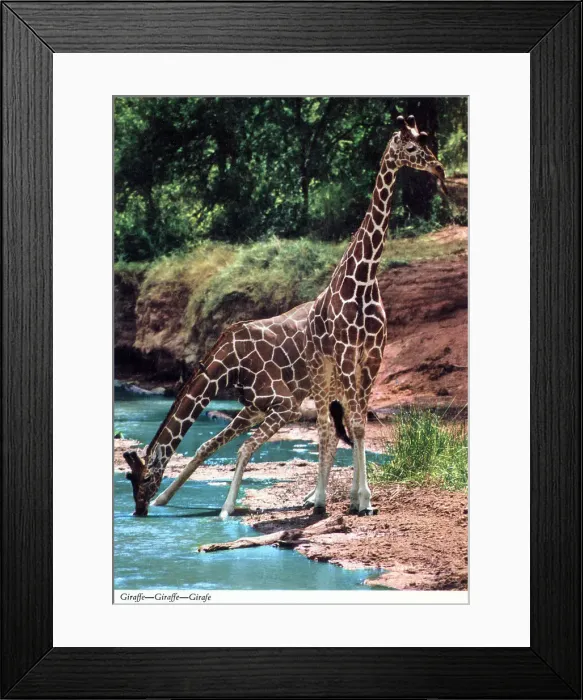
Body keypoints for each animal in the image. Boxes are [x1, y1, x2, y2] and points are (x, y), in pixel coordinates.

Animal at [123, 300, 350, 518]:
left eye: (146, 478)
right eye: (129, 478)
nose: (139, 509)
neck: (232, 366)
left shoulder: (287, 406)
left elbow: (245, 448)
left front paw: (226, 508)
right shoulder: (255, 408)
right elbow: (206, 447)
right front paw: (161, 500)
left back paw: (319, 498)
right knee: (334, 430)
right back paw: (314, 497)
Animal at [305, 114, 447, 515]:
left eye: (428, 140)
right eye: (412, 147)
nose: (439, 168)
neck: (367, 275)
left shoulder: (372, 356)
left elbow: (360, 425)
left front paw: (361, 498)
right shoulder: (348, 355)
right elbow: (353, 423)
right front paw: (361, 498)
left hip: (340, 374)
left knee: (338, 424)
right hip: (321, 370)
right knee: (324, 426)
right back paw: (318, 498)